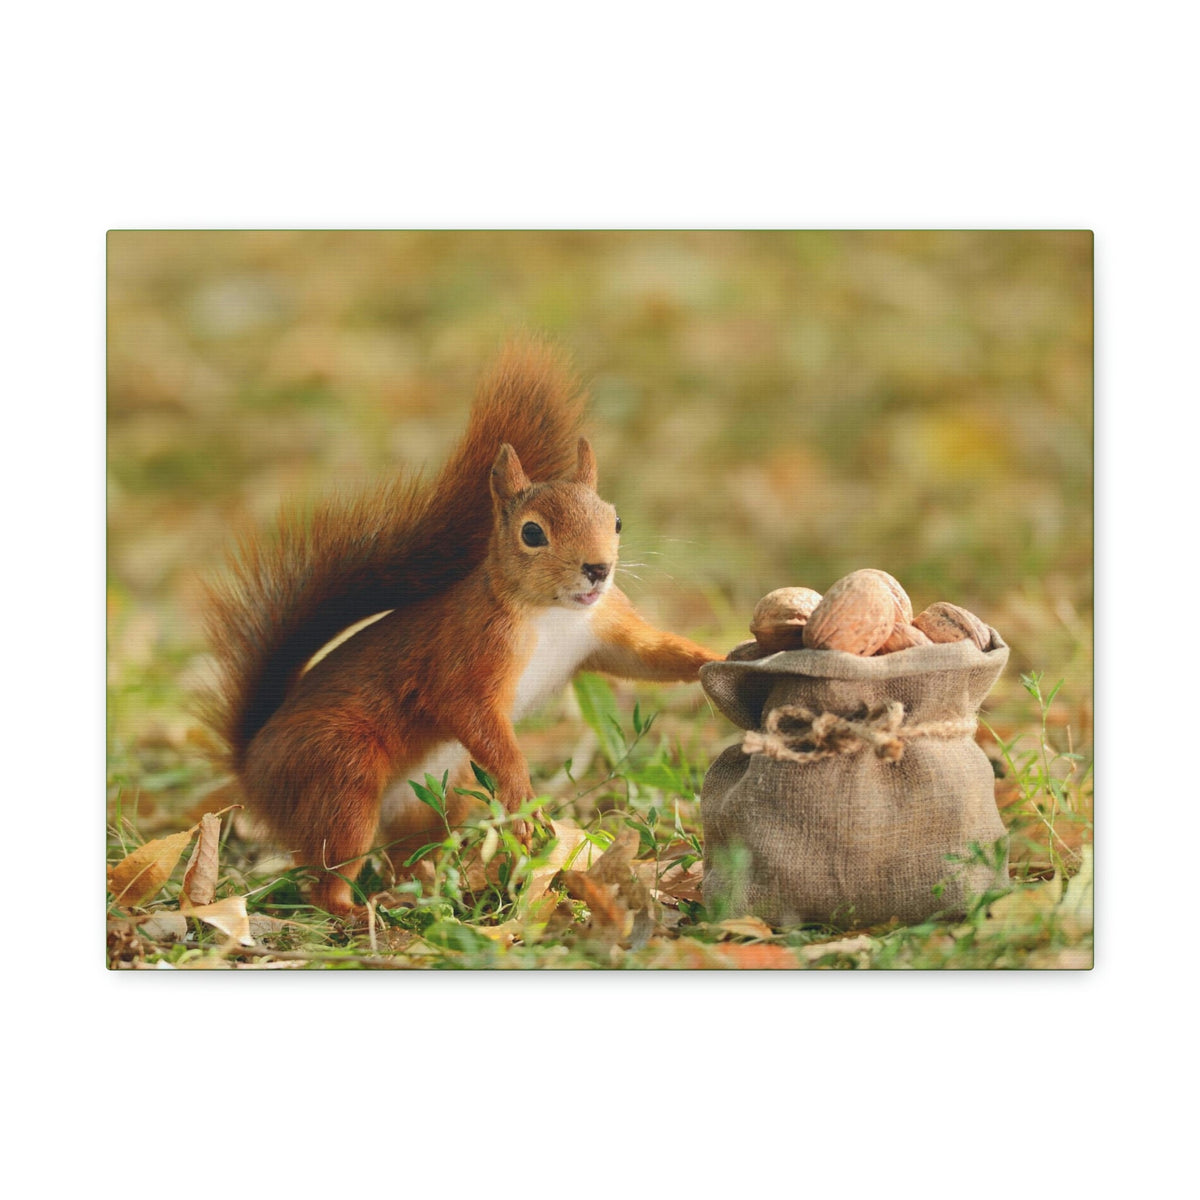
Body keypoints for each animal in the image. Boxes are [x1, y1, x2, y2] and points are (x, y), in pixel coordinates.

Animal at [204, 339, 722, 916]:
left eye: (616, 521)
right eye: (532, 533)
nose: (598, 569)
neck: (554, 614)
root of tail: (252, 765)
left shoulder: (604, 626)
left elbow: (648, 656)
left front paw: (717, 658)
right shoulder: (470, 652)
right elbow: (469, 710)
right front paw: (523, 800)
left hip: (428, 802)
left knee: (408, 854)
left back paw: (430, 889)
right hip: (340, 776)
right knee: (328, 872)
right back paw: (356, 909)